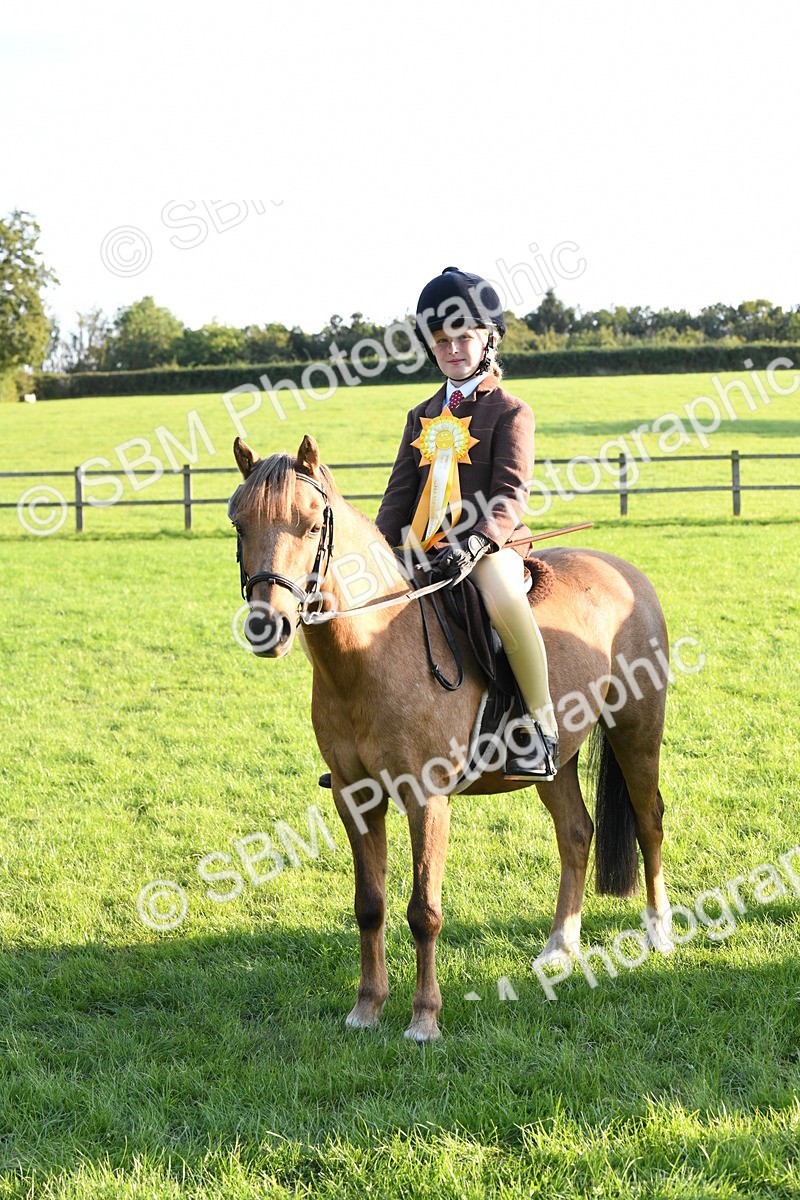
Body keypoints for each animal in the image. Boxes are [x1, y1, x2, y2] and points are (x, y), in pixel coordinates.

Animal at [229, 433, 674, 1042]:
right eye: (238, 524)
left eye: (312, 523)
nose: (266, 626)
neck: (372, 651)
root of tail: (624, 570)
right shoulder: (354, 797)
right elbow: (369, 904)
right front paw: (367, 1008)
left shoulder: (427, 798)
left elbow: (424, 911)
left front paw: (424, 1020)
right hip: (556, 760)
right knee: (576, 833)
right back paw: (560, 948)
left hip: (637, 731)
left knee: (649, 821)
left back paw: (658, 933)